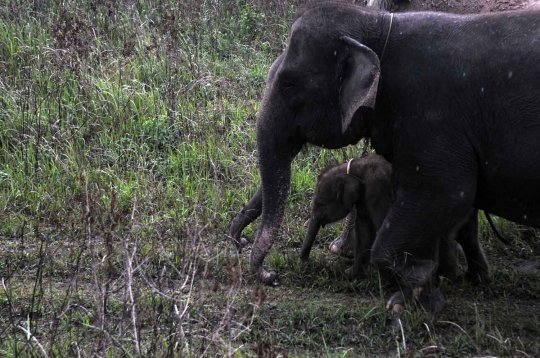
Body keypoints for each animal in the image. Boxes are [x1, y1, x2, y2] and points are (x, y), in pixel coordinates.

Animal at [302, 155, 492, 286]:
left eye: (320, 203)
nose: (305, 263)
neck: (353, 166)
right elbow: (364, 231)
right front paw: (351, 275)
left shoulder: (378, 189)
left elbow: (380, 224)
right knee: (467, 237)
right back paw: (476, 279)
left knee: (444, 237)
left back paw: (445, 279)